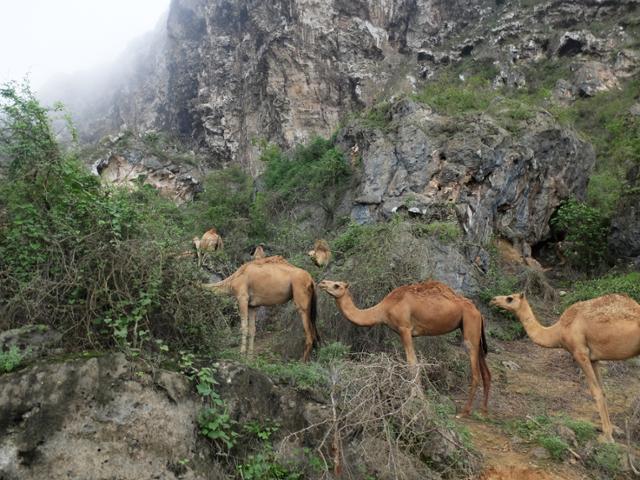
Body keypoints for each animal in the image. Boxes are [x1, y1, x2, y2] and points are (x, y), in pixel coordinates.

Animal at [318, 280, 490, 414]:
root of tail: (479, 312)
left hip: (470, 325)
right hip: (473, 330)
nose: (322, 283)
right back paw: (483, 410)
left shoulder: (405, 329)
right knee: (486, 370)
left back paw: (464, 412)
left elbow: (412, 364)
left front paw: (416, 399)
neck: (384, 309)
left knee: (475, 372)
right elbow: (413, 363)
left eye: (337, 285)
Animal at [490, 290, 640, 444]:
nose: (493, 299)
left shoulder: (580, 352)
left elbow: (595, 391)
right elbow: (603, 391)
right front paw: (608, 433)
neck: (559, 331)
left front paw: (608, 438)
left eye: (509, 298)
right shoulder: (594, 358)